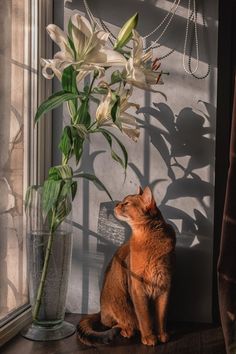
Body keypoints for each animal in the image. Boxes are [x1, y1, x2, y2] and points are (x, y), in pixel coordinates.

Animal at [76, 187, 176, 348]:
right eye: (122, 202)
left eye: (127, 203)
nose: (116, 204)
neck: (148, 240)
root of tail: (100, 311)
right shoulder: (137, 287)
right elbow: (144, 316)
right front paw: (149, 337)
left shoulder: (164, 285)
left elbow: (161, 316)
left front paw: (162, 335)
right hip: (117, 303)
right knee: (115, 323)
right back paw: (126, 330)